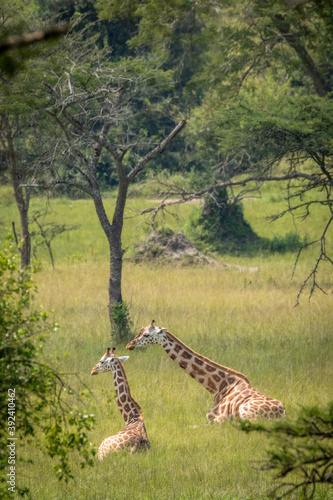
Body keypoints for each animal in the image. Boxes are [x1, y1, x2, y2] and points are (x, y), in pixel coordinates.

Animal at [125, 320, 286, 422]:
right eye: (140, 331)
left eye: (147, 335)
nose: (129, 345)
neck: (217, 387)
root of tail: (282, 414)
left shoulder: (219, 420)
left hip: (247, 414)